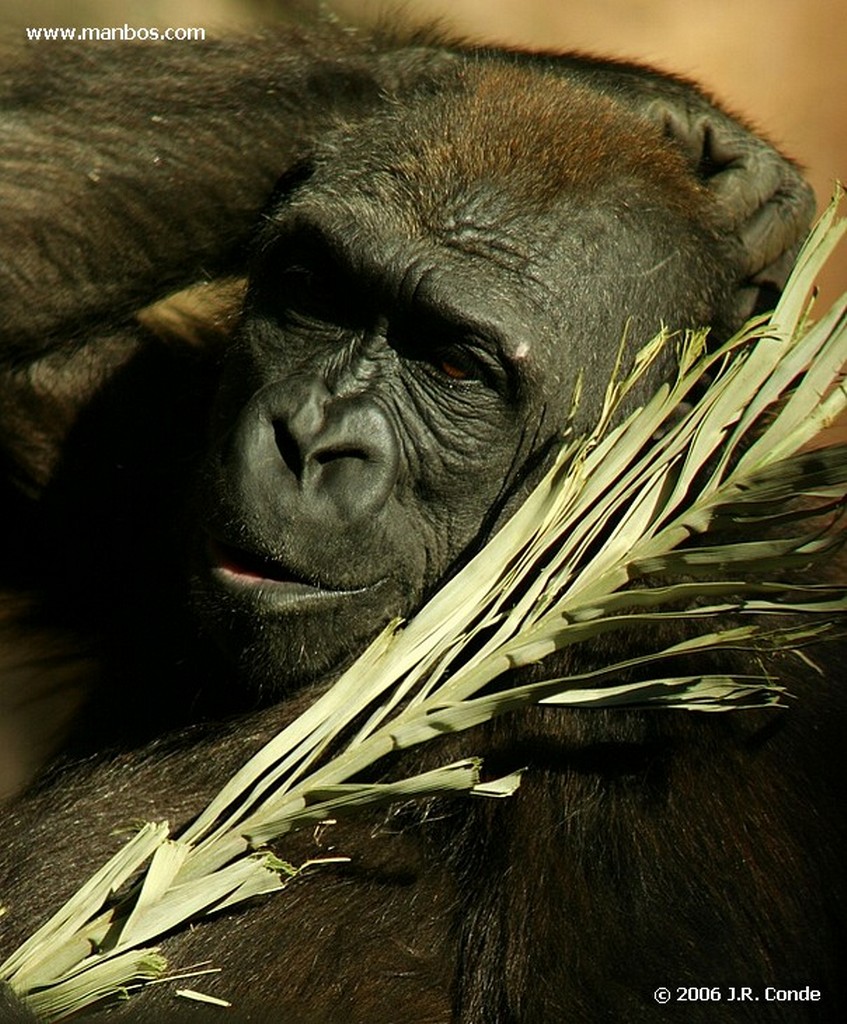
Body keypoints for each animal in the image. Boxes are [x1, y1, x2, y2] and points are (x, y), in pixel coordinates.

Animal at [0, 18, 843, 1024]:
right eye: (313, 294)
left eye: (451, 365)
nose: (308, 439)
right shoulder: (152, 431)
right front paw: (657, 112)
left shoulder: (701, 742)